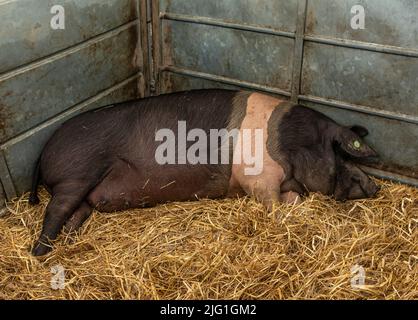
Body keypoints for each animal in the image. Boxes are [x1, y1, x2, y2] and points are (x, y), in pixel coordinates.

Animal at [29, 89, 380, 255]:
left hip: (87, 193)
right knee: (55, 210)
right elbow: (273, 205)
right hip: (76, 175)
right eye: (342, 154)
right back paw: (41, 251)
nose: (375, 187)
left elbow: (293, 200)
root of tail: (43, 151)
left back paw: (68, 241)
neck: (291, 144)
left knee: (76, 214)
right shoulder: (259, 178)